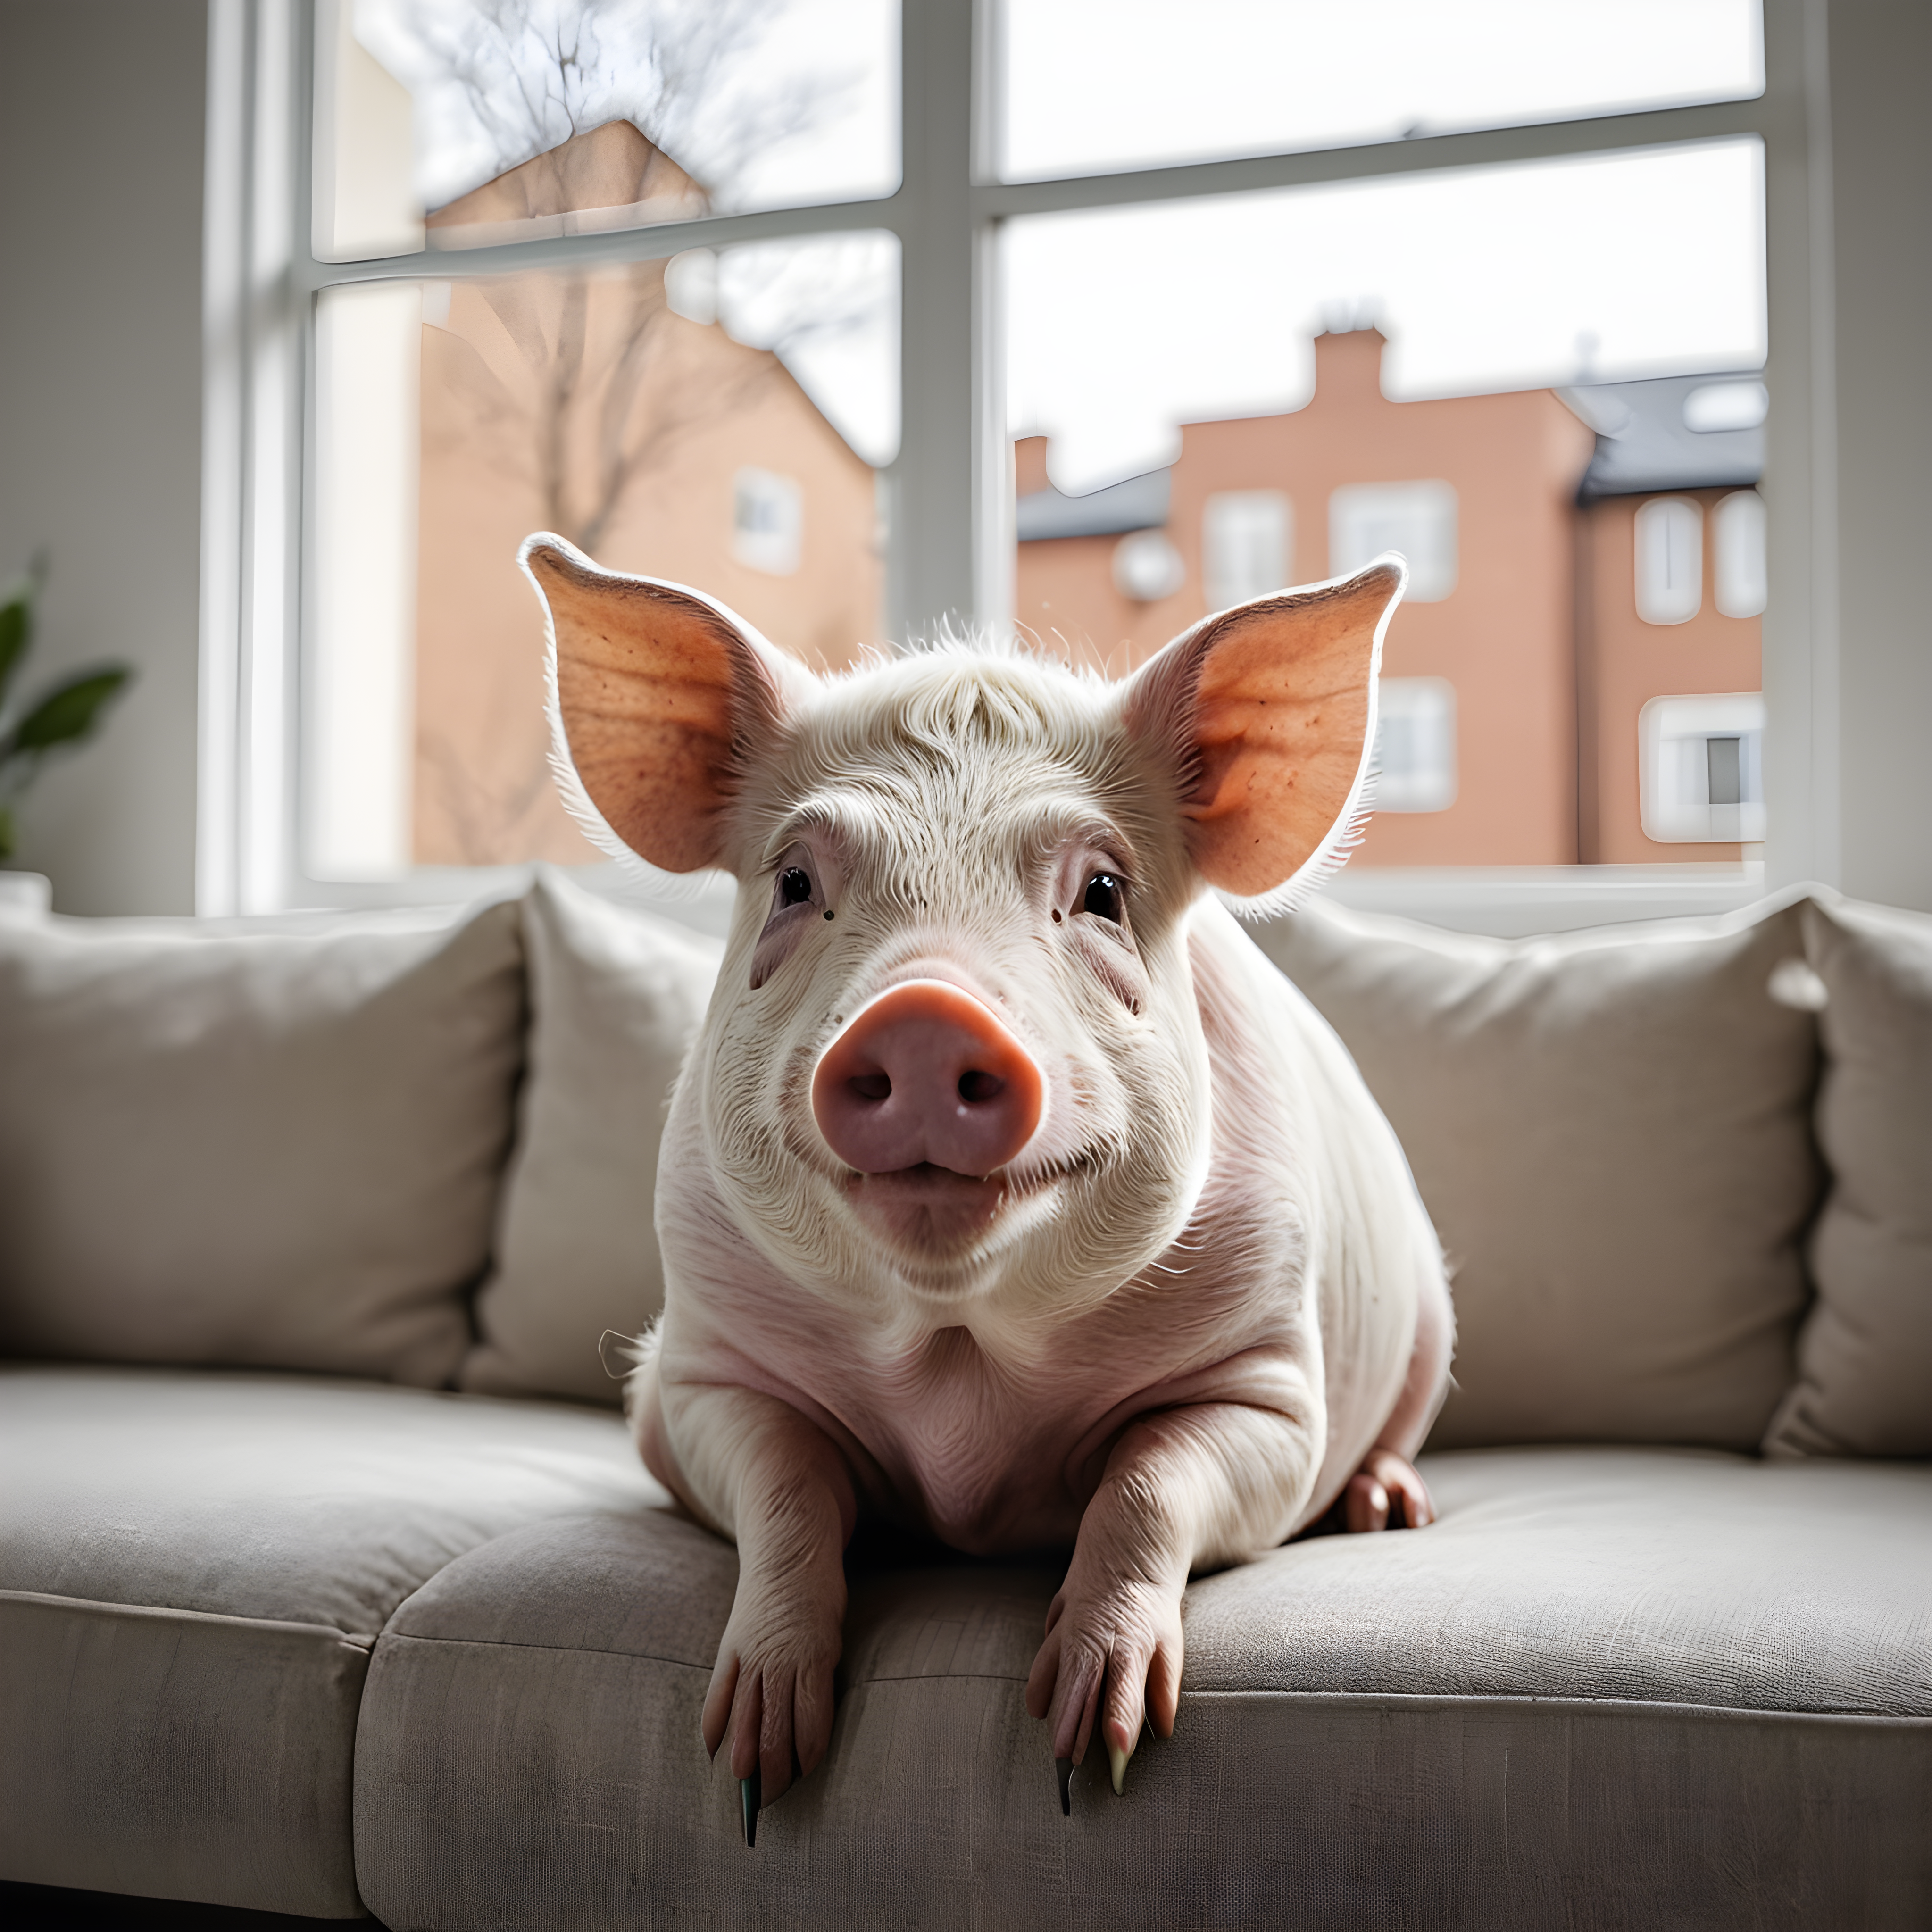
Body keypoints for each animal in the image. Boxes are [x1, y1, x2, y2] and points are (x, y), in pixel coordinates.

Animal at [522, 533, 1453, 1841]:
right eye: (795, 882)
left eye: (1103, 889)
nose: (923, 1009)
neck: (957, 1357)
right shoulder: (694, 1374)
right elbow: (786, 1490)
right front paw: (751, 1767)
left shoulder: (1270, 1384)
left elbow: (1149, 1484)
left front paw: (1088, 1748)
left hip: (1426, 1319)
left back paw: (1387, 1509)